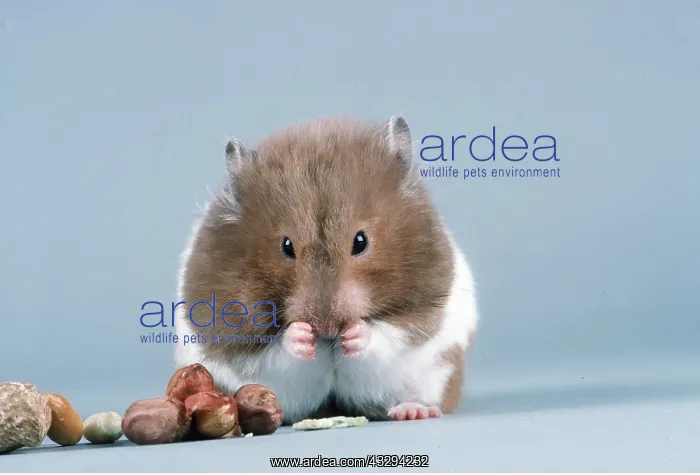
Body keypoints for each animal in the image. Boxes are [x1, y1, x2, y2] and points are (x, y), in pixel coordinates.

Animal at [173, 115, 479, 423]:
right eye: (286, 246)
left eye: (361, 241)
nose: (327, 327)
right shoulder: (229, 331)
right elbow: (272, 352)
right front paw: (301, 335)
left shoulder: (426, 309)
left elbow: (392, 334)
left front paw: (355, 332)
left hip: (439, 372)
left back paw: (413, 411)